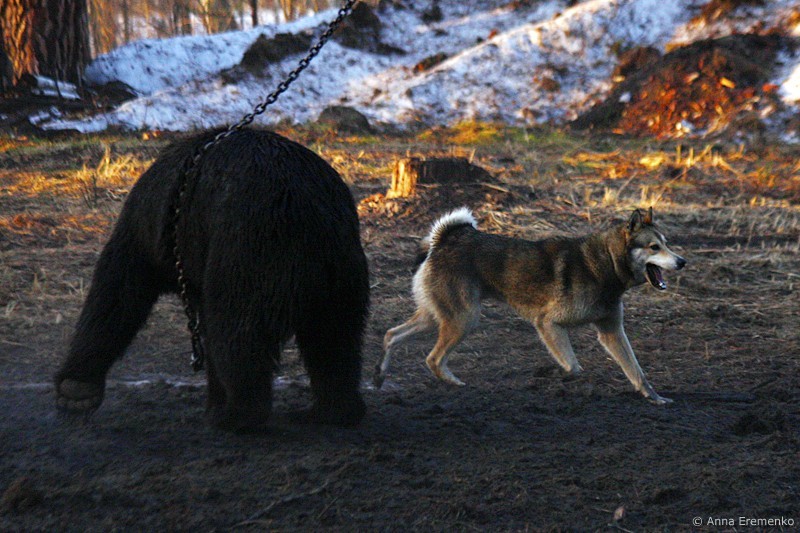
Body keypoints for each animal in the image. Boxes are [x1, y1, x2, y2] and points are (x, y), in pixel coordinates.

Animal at [54, 128, 370, 431]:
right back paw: (331, 410)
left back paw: (237, 414)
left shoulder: (153, 226)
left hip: (248, 250)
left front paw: (76, 389)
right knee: (335, 340)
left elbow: (120, 286)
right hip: (342, 270)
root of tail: (305, 209)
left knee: (237, 331)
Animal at [374, 207, 685, 404]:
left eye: (667, 244)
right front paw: (553, 374)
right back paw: (451, 383)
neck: (605, 263)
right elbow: (573, 366)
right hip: (464, 319)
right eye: (654, 247)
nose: (682, 261)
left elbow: (637, 371)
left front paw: (654, 397)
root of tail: (446, 239)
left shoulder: (612, 332)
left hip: (436, 317)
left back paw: (379, 376)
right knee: (433, 359)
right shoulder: (548, 323)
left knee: (391, 335)